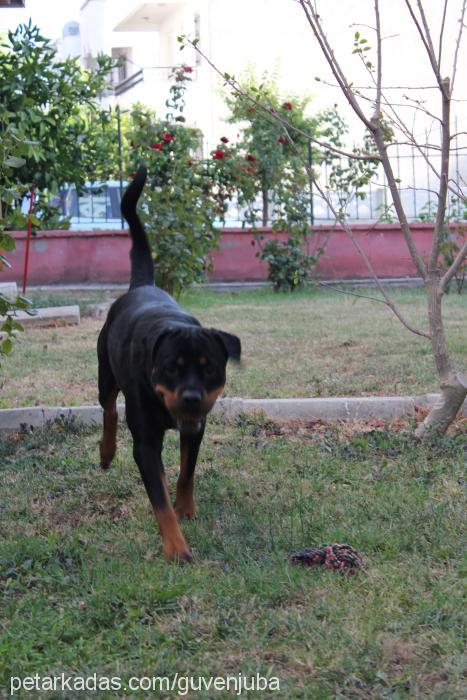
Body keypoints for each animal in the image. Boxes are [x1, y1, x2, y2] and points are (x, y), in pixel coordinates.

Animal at [96, 165, 241, 564]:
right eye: (171, 368)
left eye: (209, 369)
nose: (191, 397)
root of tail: (141, 286)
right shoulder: (145, 442)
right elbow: (157, 497)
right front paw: (176, 546)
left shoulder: (197, 428)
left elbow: (186, 472)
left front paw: (186, 508)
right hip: (104, 374)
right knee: (109, 409)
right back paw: (106, 452)